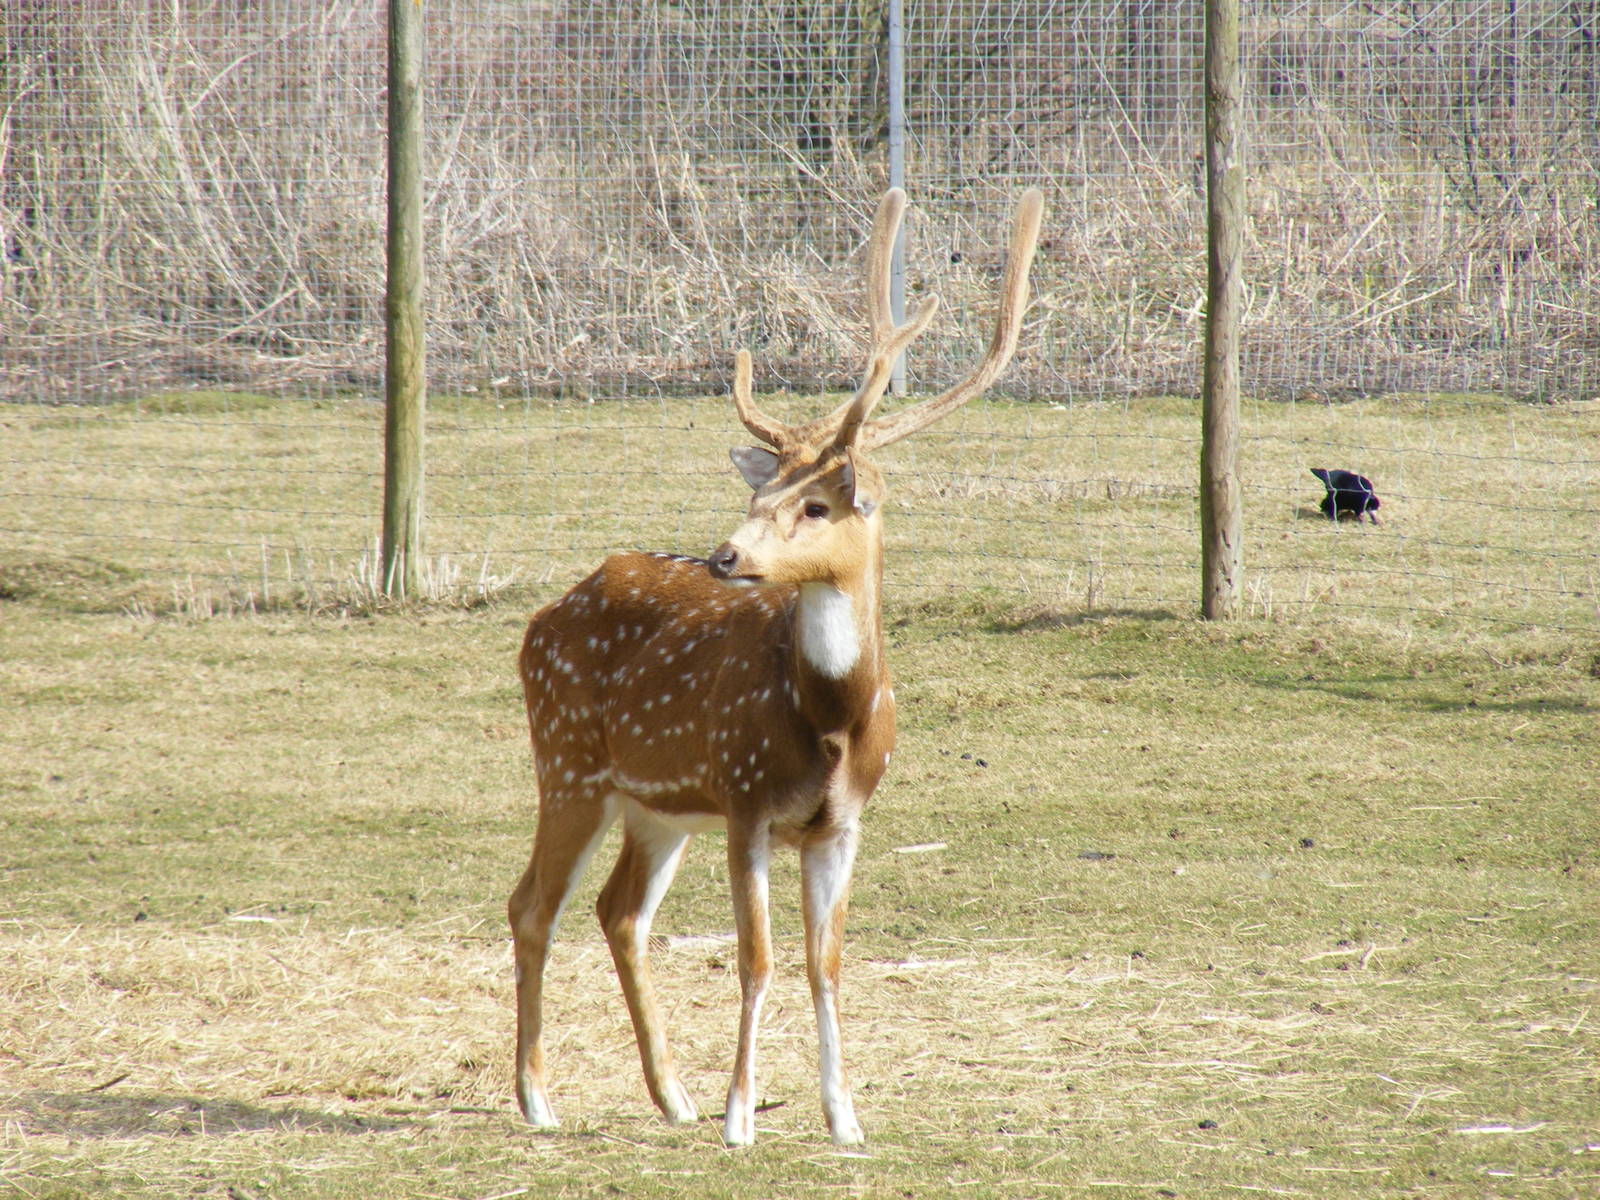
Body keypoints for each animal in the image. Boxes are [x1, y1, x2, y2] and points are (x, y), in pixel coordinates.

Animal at [508, 186, 1044, 1147]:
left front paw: (844, 1119)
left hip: (658, 805)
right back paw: (538, 1100)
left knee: (619, 912)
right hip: (567, 762)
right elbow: (756, 959)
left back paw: (670, 1096)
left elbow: (825, 960)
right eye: (758, 493)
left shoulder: (840, 824)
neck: (829, 722)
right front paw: (741, 1118)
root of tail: (544, 616)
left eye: (818, 505)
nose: (725, 555)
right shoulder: (748, 800)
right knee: (532, 904)